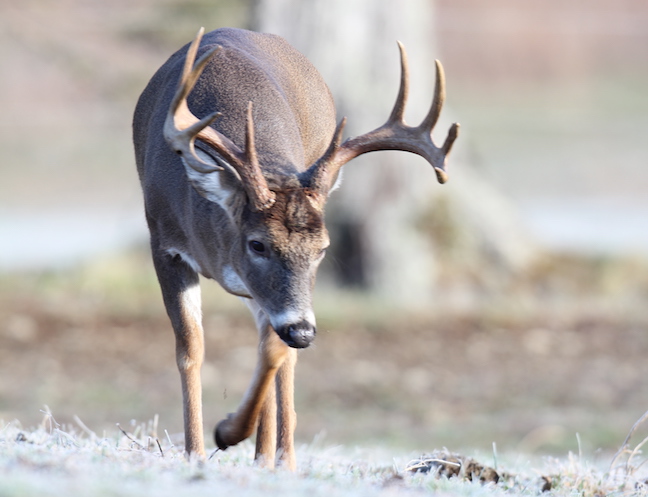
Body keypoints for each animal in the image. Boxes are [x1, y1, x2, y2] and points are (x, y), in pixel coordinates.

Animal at [133, 28, 456, 468]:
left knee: (277, 351)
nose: (303, 330)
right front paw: (196, 452)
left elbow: (273, 351)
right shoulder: (164, 243)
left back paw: (276, 457)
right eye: (257, 244)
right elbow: (191, 349)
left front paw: (232, 434)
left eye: (323, 248)